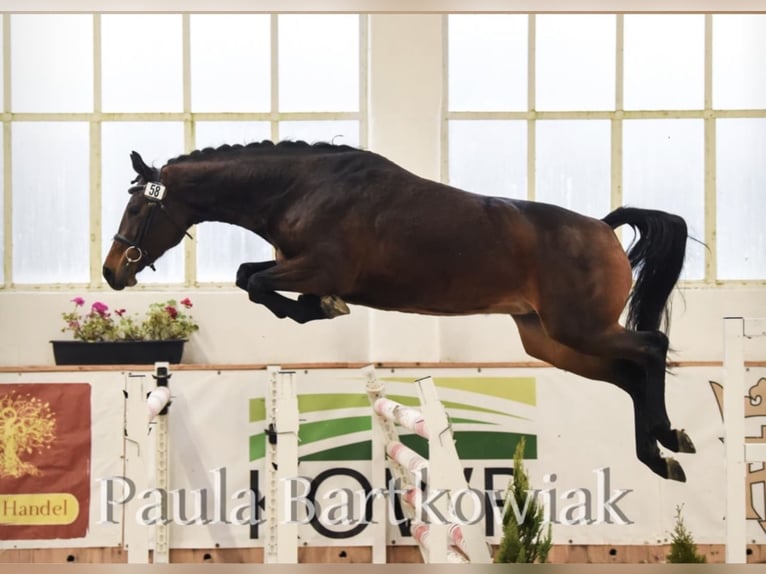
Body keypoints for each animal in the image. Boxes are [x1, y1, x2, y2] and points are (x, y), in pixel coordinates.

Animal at [103, 139, 695, 482]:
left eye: (136, 208)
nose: (112, 272)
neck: (298, 189)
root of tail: (601, 227)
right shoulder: (297, 267)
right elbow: (250, 278)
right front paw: (316, 310)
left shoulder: (315, 267)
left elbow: (255, 282)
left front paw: (322, 309)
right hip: (551, 340)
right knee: (627, 375)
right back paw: (661, 457)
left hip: (581, 327)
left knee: (651, 348)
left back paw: (669, 437)